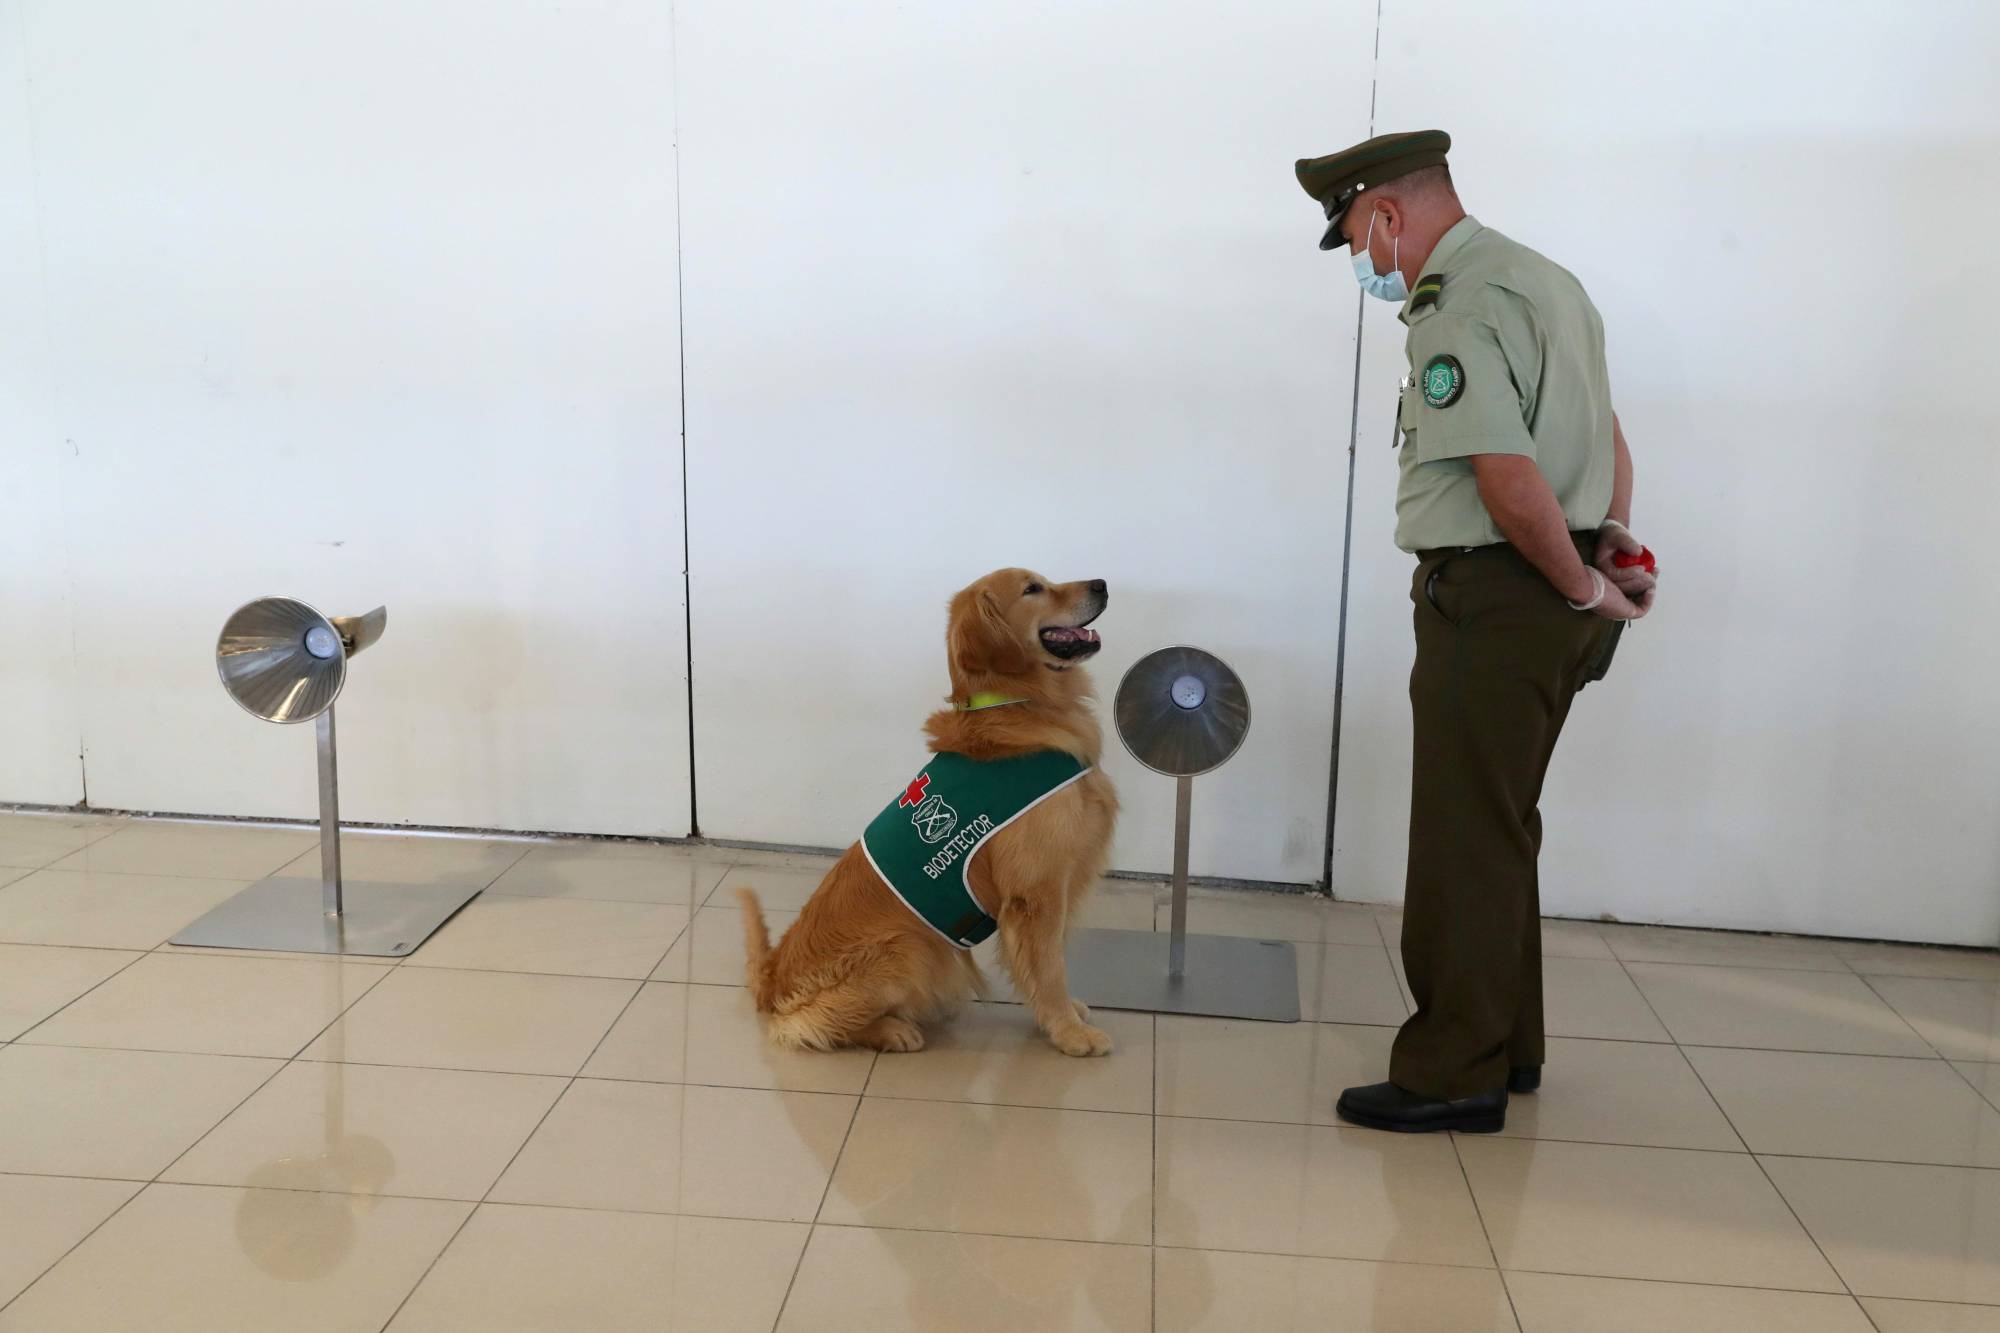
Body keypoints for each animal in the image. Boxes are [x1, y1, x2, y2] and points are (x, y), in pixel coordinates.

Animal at [736, 564, 1120, 1056]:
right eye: (1033, 588)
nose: (1102, 585)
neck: (1020, 703)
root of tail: (771, 978)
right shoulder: (1037, 891)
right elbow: (1050, 967)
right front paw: (1069, 1032)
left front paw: (1068, 1015)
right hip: (909, 947)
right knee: (809, 1024)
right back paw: (892, 1031)